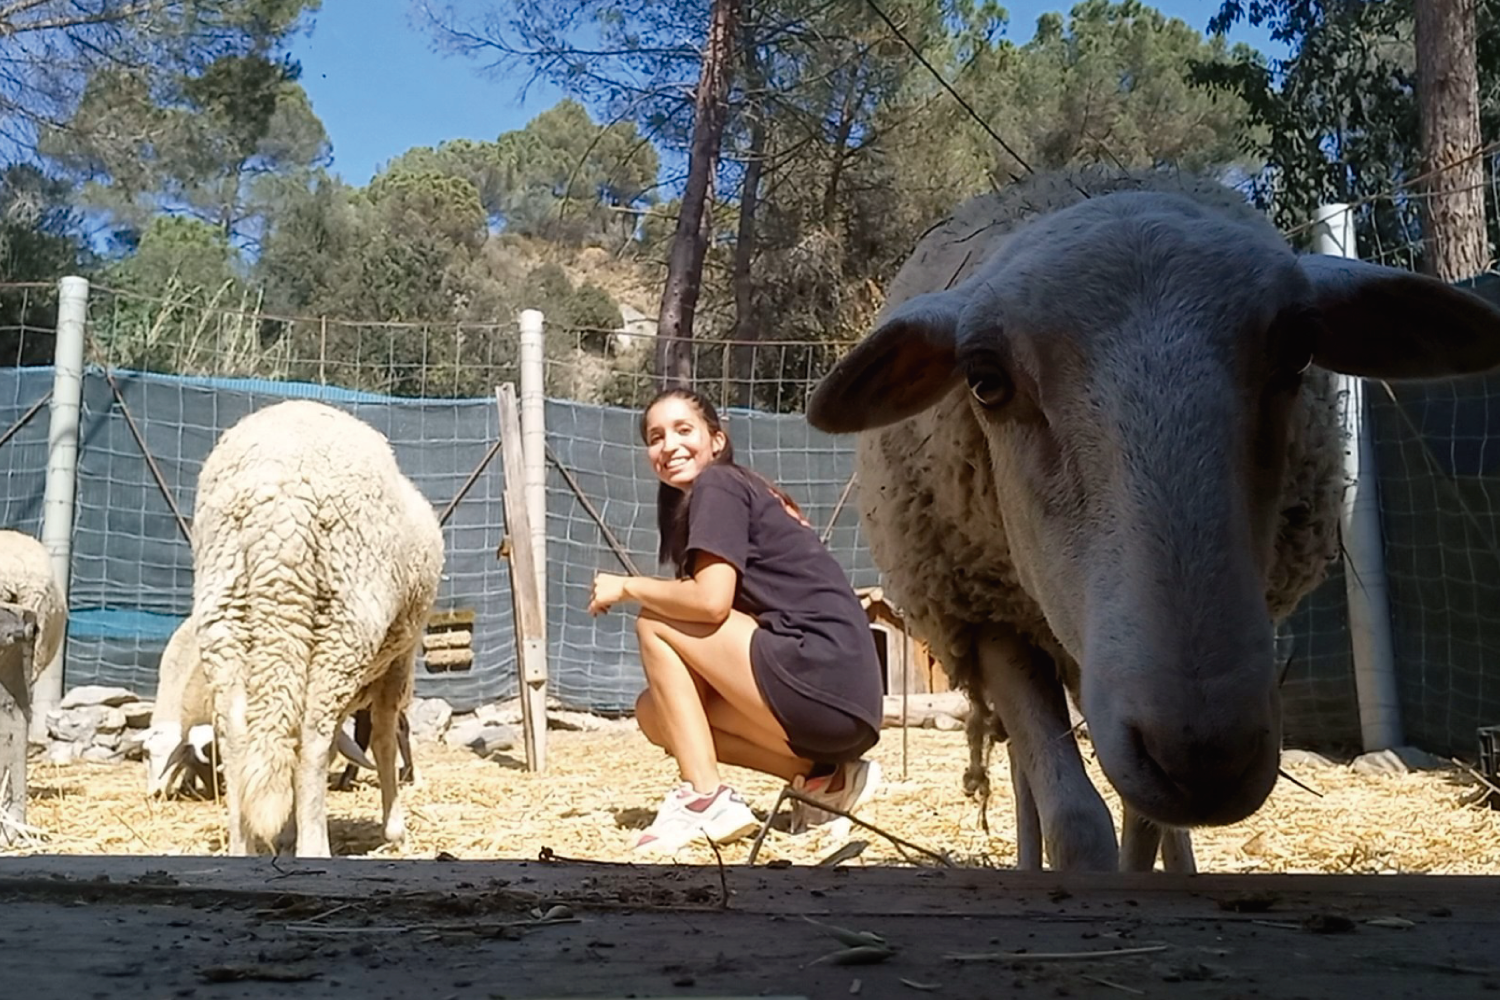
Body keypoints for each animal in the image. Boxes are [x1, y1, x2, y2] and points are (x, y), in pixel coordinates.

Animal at [190, 398, 441, 863]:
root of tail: (279, 496)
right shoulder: (399, 662)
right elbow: (384, 735)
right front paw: (395, 829)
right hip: (346, 615)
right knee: (313, 735)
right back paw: (314, 848)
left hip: (224, 610)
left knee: (238, 734)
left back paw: (243, 844)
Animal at [810, 167, 1500, 869]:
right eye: (984, 380)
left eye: (1300, 353)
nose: (1207, 754)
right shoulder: (991, 622)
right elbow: (1073, 819)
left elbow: (1141, 830)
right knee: (1026, 779)